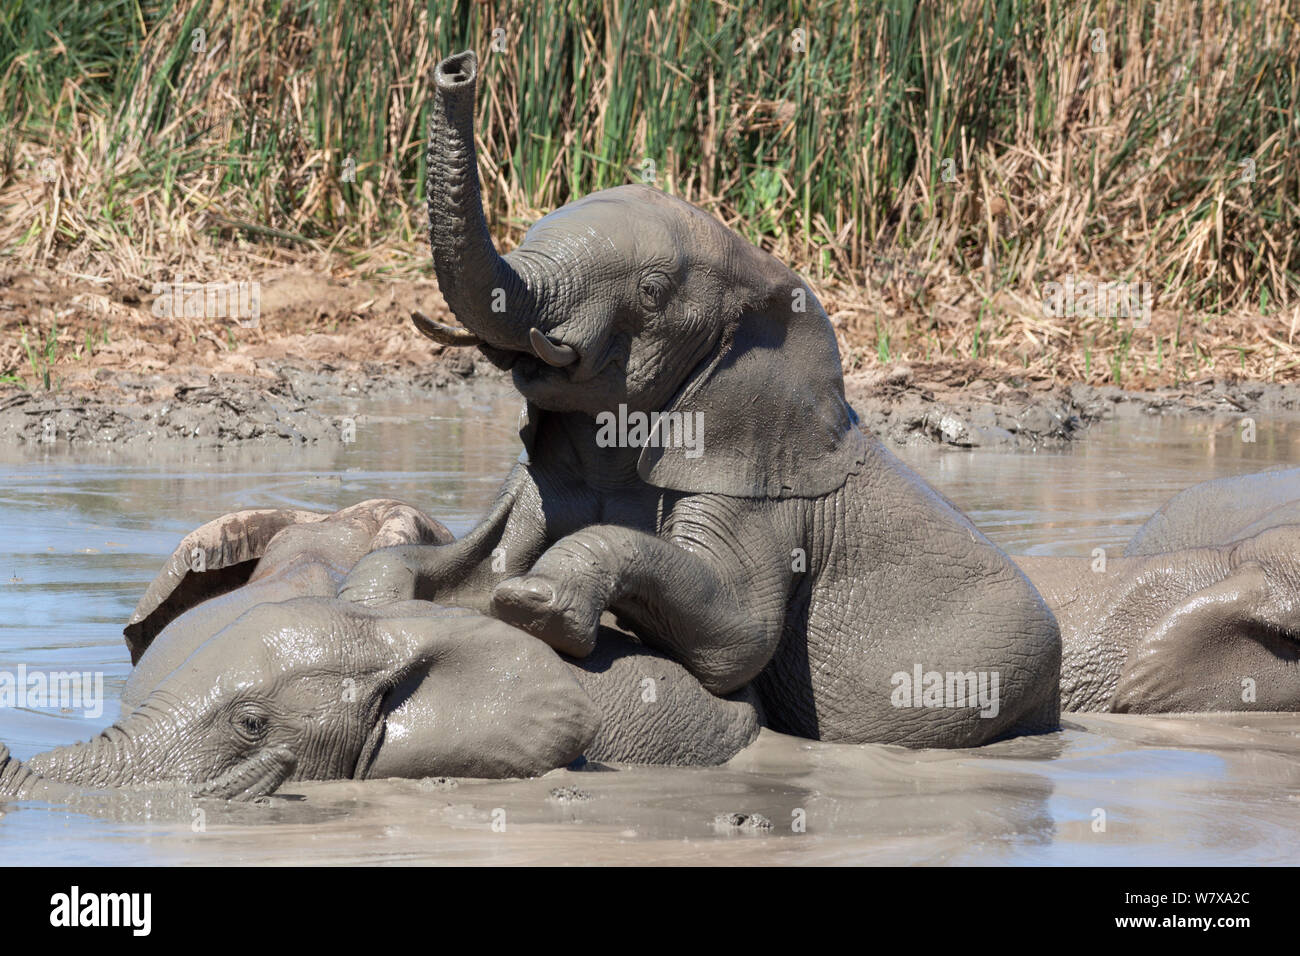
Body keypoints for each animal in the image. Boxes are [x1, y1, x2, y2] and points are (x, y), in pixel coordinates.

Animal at [340, 48, 1060, 749]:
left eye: (653, 292)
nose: (457, 67)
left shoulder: (756, 491)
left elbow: (737, 639)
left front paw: (535, 602)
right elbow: (459, 564)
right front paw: (379, 594)